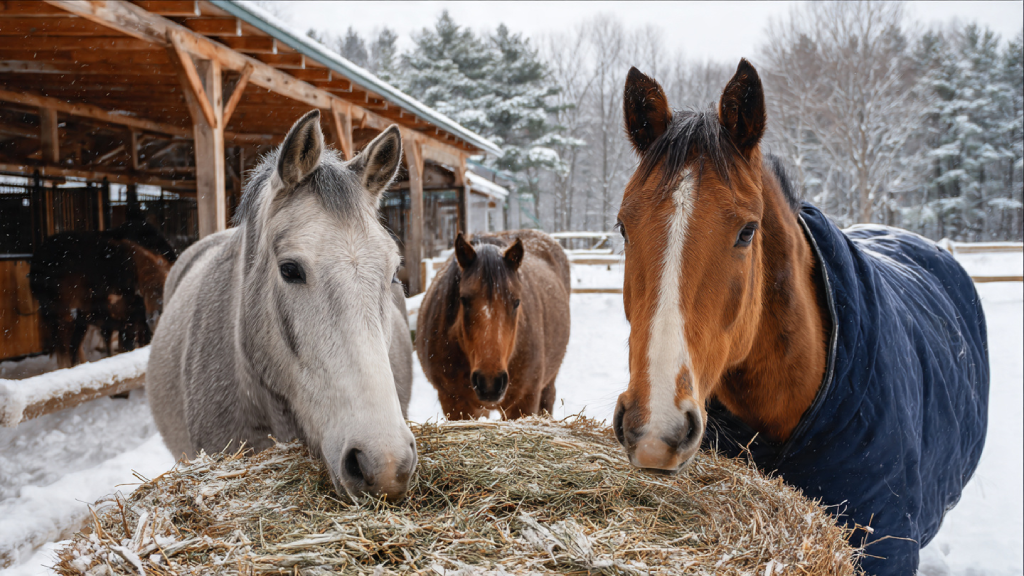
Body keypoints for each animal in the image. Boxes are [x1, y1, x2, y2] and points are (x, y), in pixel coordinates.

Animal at [416, 229, 571, 420]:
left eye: (517, 302)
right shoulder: (454, 403)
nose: (490, 383)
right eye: (463, 299)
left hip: (548, 383)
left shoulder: (523, 403)